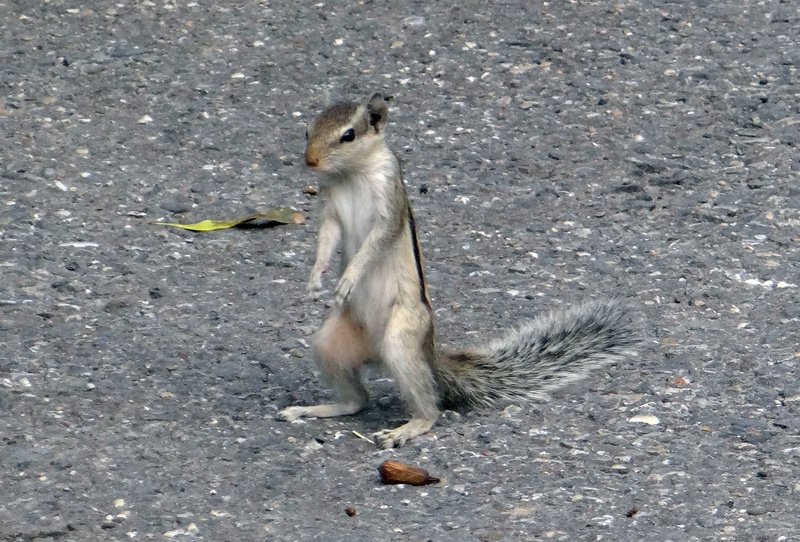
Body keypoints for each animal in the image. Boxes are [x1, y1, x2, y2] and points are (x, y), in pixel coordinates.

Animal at [276, 92, 639, 449]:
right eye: (307, 130)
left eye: (348, 135)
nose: (310, 161)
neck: (352, 173)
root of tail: (427, 352)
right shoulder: (330, 205)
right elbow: (327, 238)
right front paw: (315, 278)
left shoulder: (389, 200)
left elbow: (377, 241)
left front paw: (349, 277)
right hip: (329, 344)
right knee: (357, 401)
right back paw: (314, 408)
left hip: (401, 338)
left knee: (428, 408)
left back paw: (407, 428)